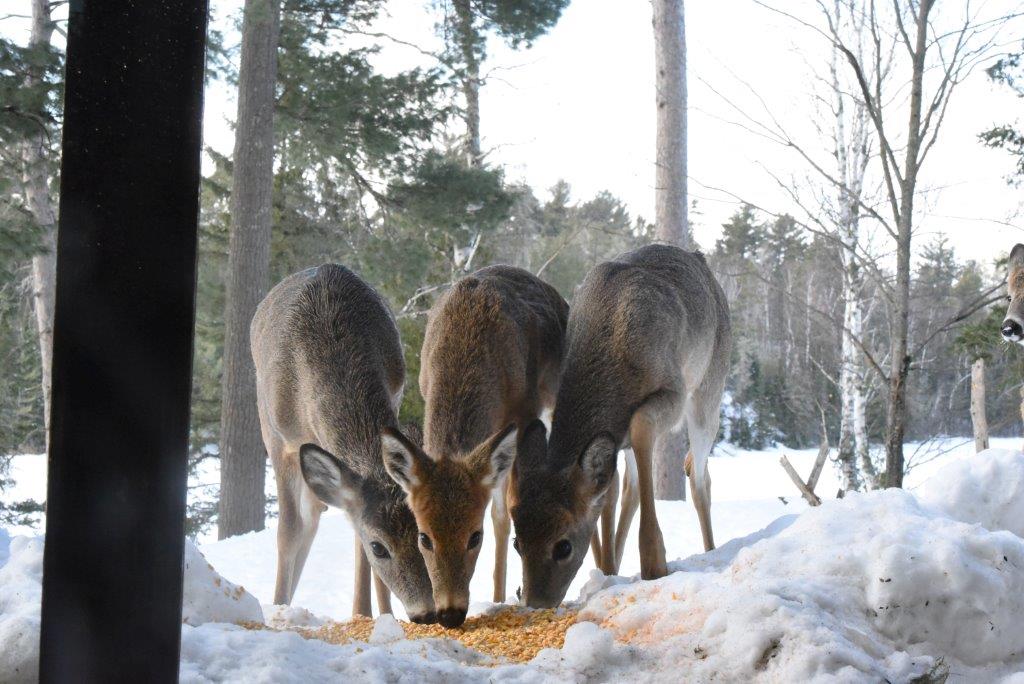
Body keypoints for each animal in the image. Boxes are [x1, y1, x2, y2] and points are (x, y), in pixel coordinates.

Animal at [251, 264, 436, 624]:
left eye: (425, 535)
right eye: (379, 547)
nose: (427, 613)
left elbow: (353, 535)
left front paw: (367, 614)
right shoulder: (278, 438)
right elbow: (288, 531)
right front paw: (278, 610)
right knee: (305, 519)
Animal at [510, 244, 731, 609]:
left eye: (564, 546)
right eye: (517, 543)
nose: (535, 602)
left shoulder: (672, 391)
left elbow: (641, 426)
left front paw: (654, 563)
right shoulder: (613, 438)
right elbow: (610, 490)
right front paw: (608, 567)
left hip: (709, 385)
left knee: (700, 476)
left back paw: (711, 549)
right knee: (631, 484)